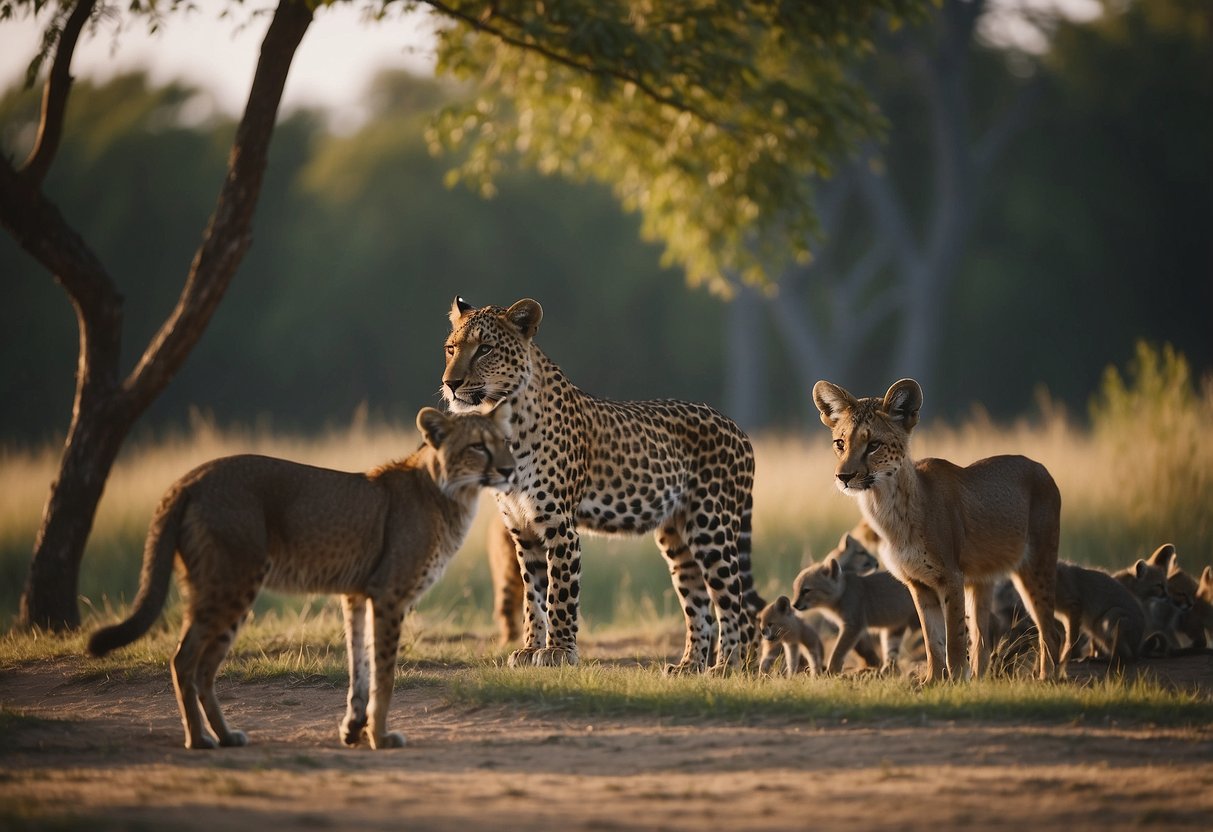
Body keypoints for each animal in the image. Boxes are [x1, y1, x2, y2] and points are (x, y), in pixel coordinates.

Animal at [87, 407, 514, 751]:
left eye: (507, 442)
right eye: (478, 446)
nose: (509, 470)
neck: (450, 491)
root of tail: (190, 478)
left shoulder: (357, 594)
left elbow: (359, 664)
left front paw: (354, 729)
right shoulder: (388, 594)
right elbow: (384, 673)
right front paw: (379, 737)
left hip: (220, 587)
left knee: (204, 668)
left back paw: (224, 736)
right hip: (234, 583)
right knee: (185, 660)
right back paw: (198, 739)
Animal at [441, 297, 761, 674]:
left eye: (485, 349)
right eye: (451, 349)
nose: (450, 383)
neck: (502, 416)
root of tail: (739, 428)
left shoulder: (560, 528)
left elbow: (560, 595)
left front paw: (558, 652)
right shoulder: (523, 530)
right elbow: (533, 598)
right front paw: (530, 648)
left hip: (712, 529)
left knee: (735, 605)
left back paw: (726, 666)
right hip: (678, 538)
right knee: (698, 606)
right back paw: (689, 666)